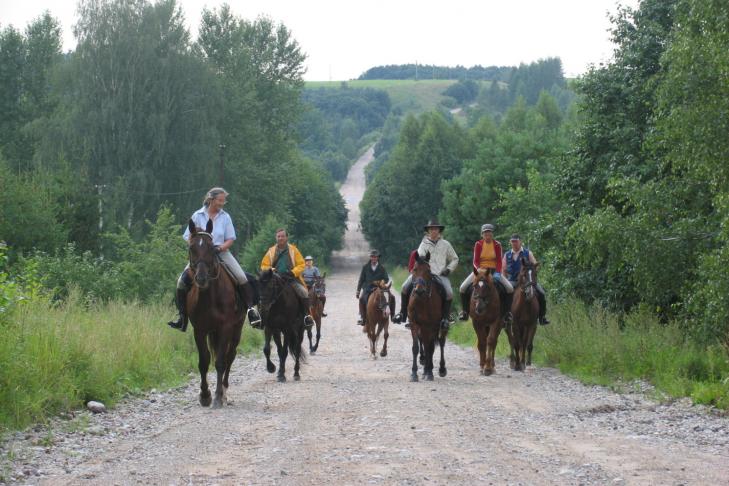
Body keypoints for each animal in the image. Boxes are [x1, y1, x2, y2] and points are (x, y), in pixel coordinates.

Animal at [186, 219, 246, 406]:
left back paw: (225, 391)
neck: (209, 297)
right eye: (191, 247)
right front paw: (205, 395)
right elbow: (204, 361)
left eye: (212, 248)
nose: (201, 278)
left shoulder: (225, 328)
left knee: (230, 356)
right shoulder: (199, 330)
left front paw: (218, 396)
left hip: (236, 329)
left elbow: (220, 362)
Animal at [406, 252, 446, 382]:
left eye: (428, 270)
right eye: (415, 269)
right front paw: (414, 373)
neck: (421, 301)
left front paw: (429, 373)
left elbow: (431, 348)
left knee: (440, 343)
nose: (419, 290)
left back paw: (440, 369)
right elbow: (415, 347)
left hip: (440, 327)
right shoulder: (414, 324)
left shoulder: (432, 326)